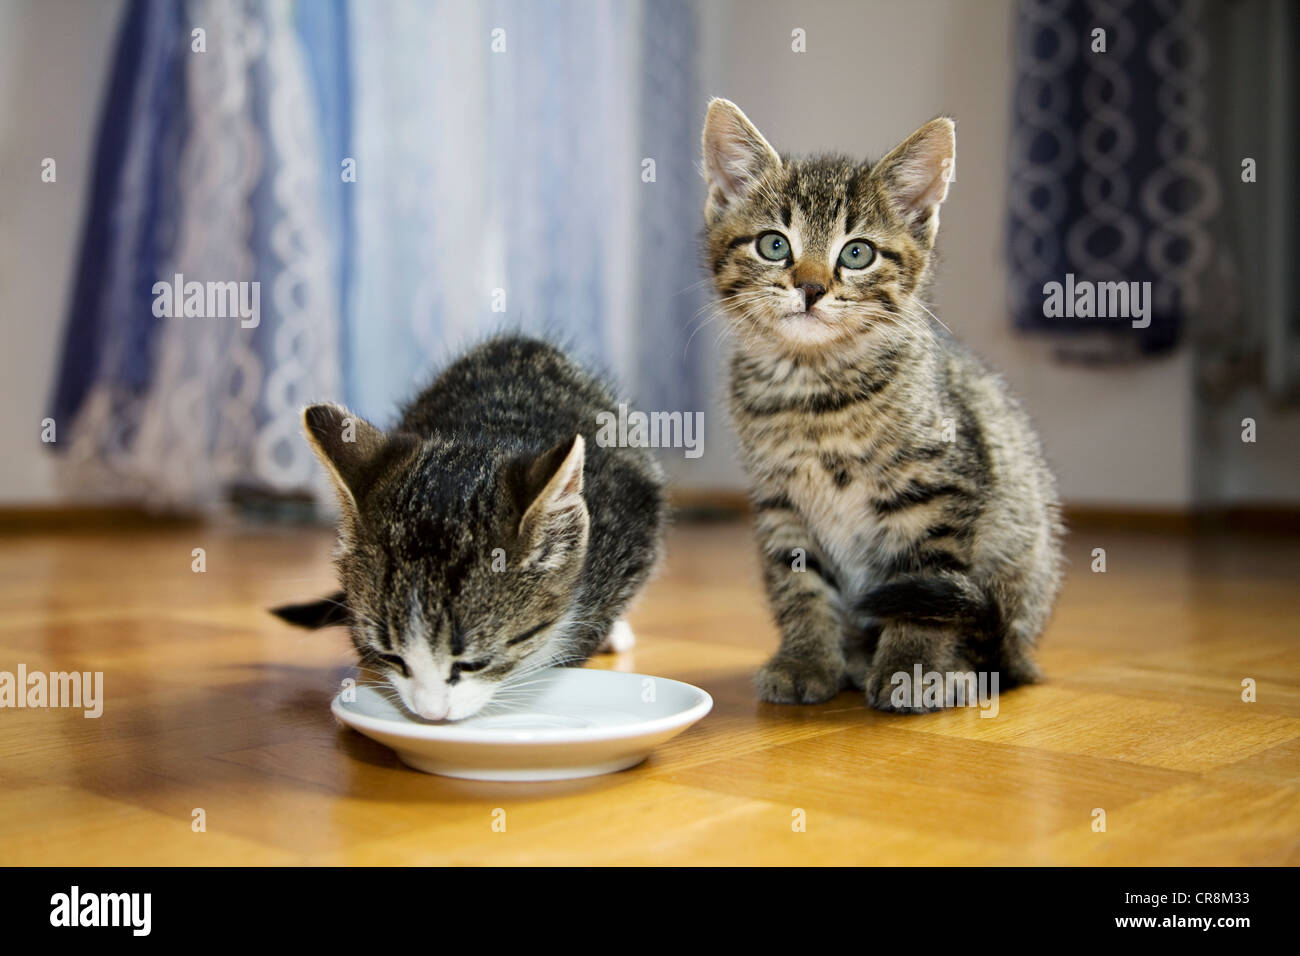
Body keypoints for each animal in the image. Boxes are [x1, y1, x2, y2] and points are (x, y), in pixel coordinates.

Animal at [702, 100, 1066, 712]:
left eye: (857, 253)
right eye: (774, 244)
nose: (811, 287)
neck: (814, 391)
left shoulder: (938, 490)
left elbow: (922, 586)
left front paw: (912, 669)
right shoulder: (780, 503)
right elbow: (799, 584)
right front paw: (806, 659)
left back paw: (953, 671)